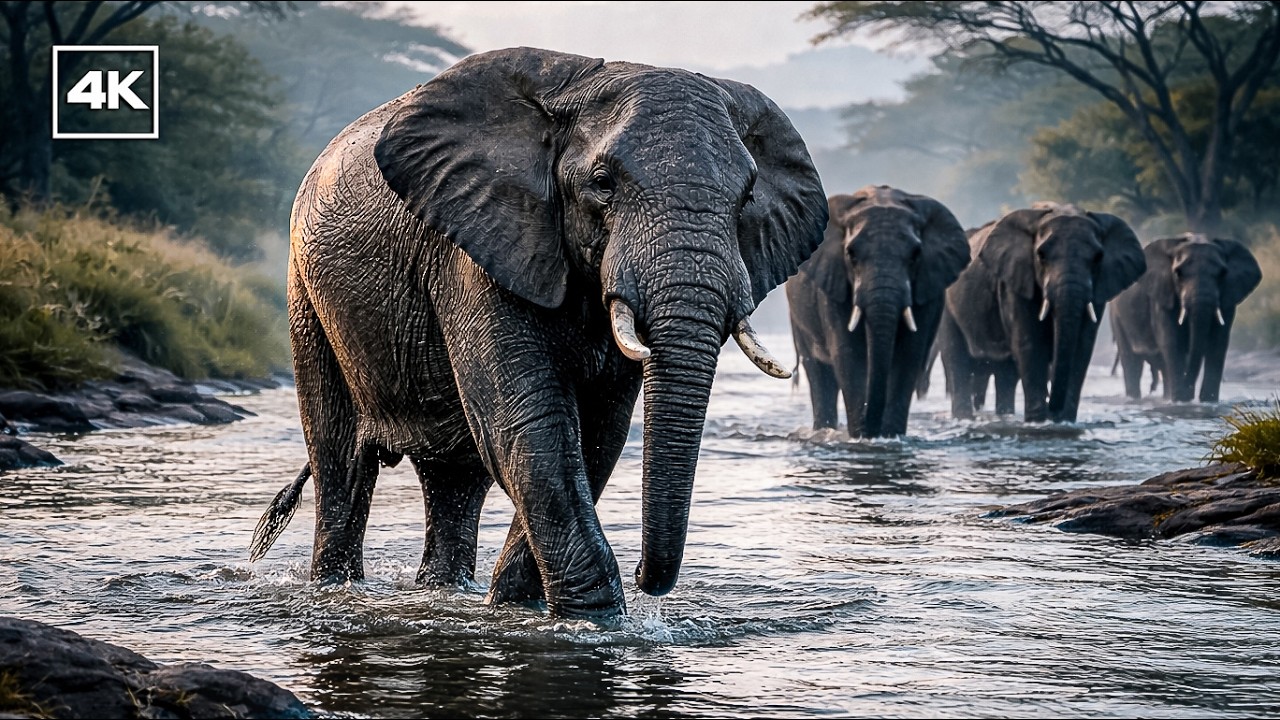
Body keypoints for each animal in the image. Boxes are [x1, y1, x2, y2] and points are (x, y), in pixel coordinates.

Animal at [244, 48, 828, 619]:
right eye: (602, 184)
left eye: (747, 197)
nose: (646, 576)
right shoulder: (476, 248)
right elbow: (530, 420)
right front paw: (592, 620)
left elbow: (597, 434)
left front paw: (513, 606)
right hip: (306, 294)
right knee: (341, 463)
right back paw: (333, 589)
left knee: (455, 480)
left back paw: (445, 592)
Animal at [786, 186, 970, 437]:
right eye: (851, 254)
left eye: (915, 255)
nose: (873, 430)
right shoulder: (834, 286)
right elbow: (848, 354)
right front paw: (862, 437)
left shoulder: (926, 289)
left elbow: (908, 355)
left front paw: (889, 436)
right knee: (818, 372)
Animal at [938, 202, 1146, 423]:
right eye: (1041, 255)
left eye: (1098, 257)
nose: (1052, 410)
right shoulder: (1016, 281)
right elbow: (1030, 343)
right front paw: (1039, 422)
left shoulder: (1099, 289)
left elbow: (1082, 346)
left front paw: (1064, 421)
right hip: (948, 309)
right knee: (956, 360)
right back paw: (964, 417)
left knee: (1005, 374)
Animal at [1110, 233, 1262, 402]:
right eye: (1178, 273)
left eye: (1222, 273)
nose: (1189, 393)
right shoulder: (1162, 297)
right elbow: (1173, 342)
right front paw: (1181, 400)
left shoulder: (1228, 297)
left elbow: (1218, 343)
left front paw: (1207, 401)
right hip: (1117, 317)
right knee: (1132, 362)